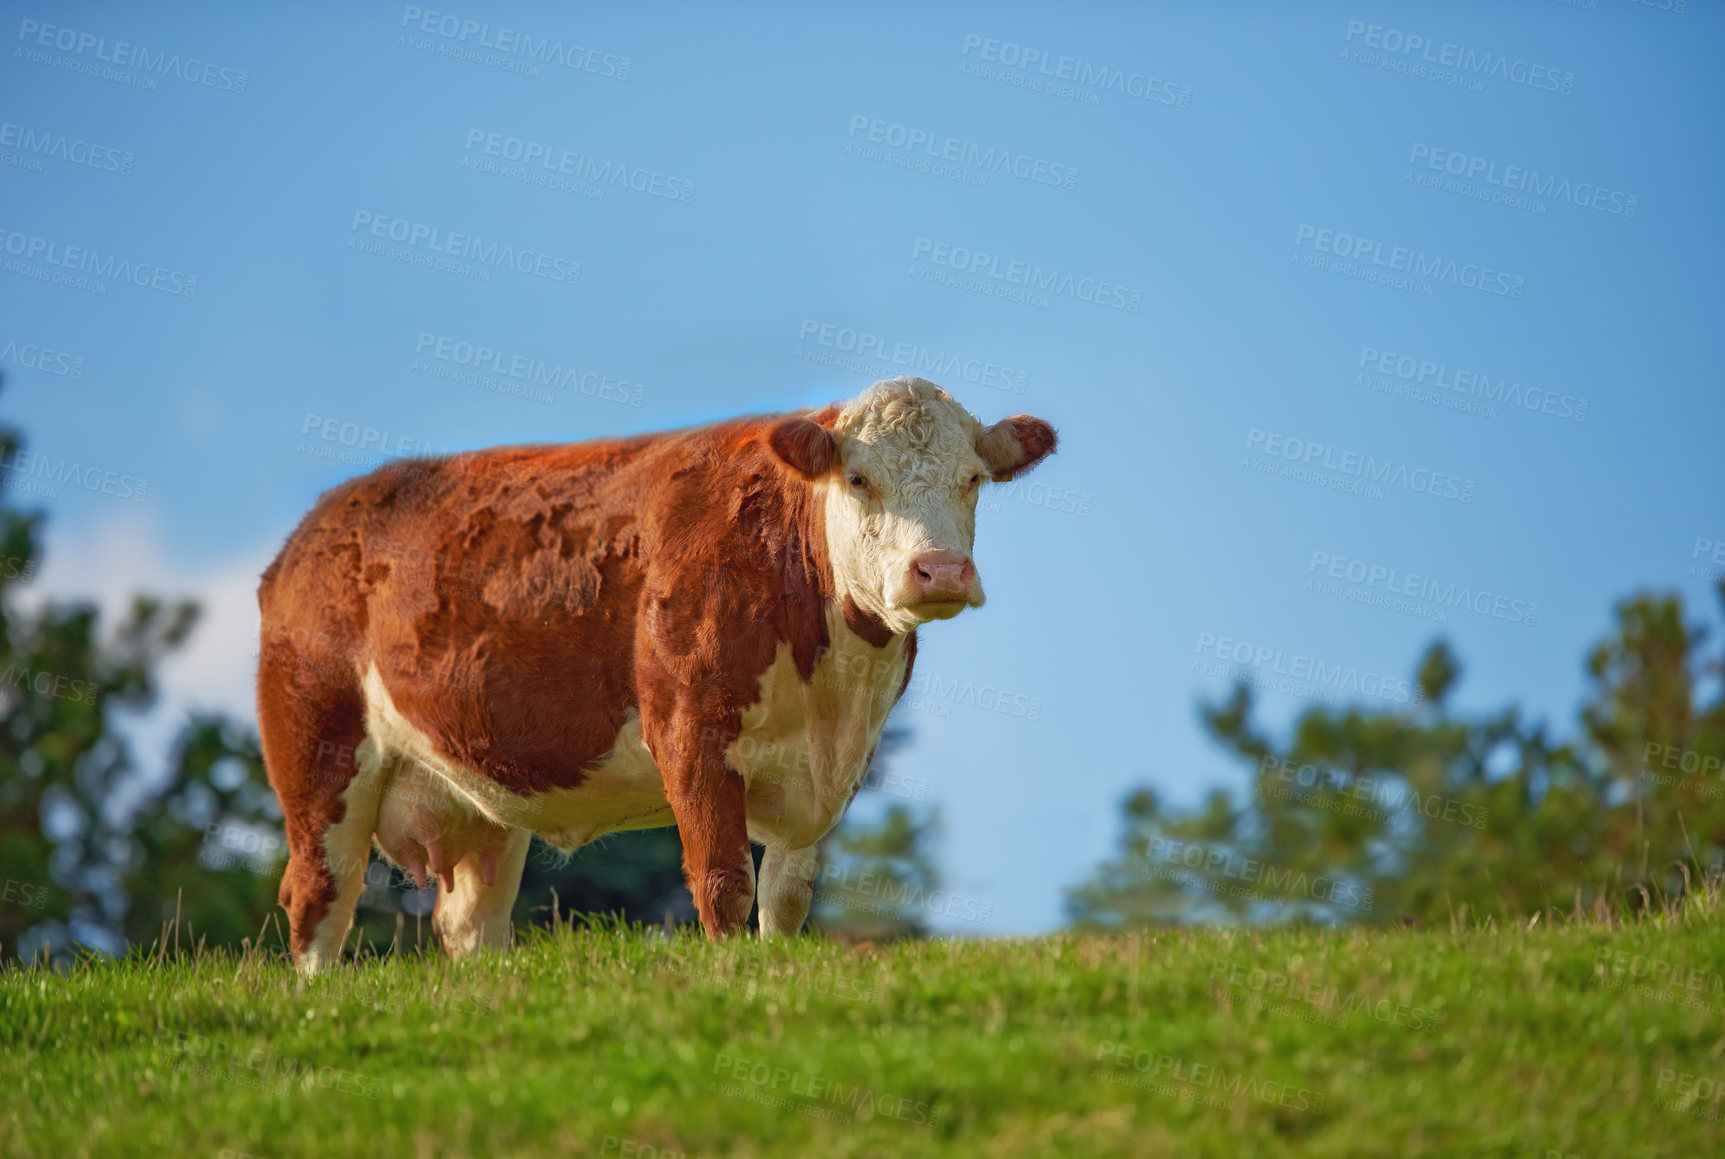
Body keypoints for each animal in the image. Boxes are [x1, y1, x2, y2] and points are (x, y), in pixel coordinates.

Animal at [258, 377, 1048, 965]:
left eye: (973, 479)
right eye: (858, 478)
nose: (939, 570)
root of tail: (319, 524)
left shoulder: (834, 766)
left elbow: (787, 896)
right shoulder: (690, 729)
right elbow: (724, 881)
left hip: (475, 797)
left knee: (470, 920)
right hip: (319, 748)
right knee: (319, 894)